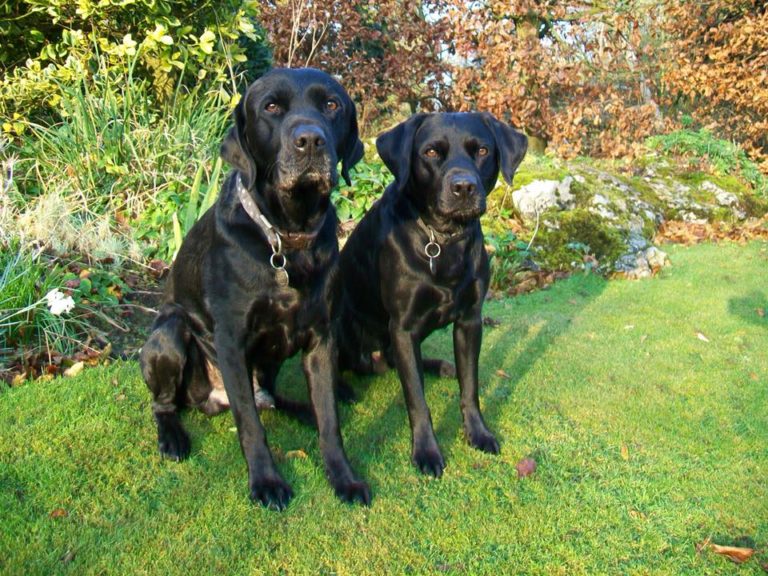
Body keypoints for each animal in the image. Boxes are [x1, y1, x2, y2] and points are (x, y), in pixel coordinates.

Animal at [142, 67, 374, 508]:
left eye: (331, 105)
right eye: (271, 107)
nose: (310, 140)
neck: (287, 239)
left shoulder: (321, 337)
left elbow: (330, 420)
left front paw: (344, 477)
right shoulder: (231, 341)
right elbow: (250, 424)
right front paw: (267, 482)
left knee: (272, 397)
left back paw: (300, 410)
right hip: (170, 334)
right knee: (166, 404)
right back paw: (173, 437)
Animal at [338, 111, 524, 476]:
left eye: (482, 151)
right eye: (432, 152)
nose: (463, 187)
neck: (443, 237)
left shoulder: (470, 321)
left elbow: (470, 386)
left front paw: (478, 433)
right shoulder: (403, 326)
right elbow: (416, 399)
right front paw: (426, 451)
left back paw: (440, 366)